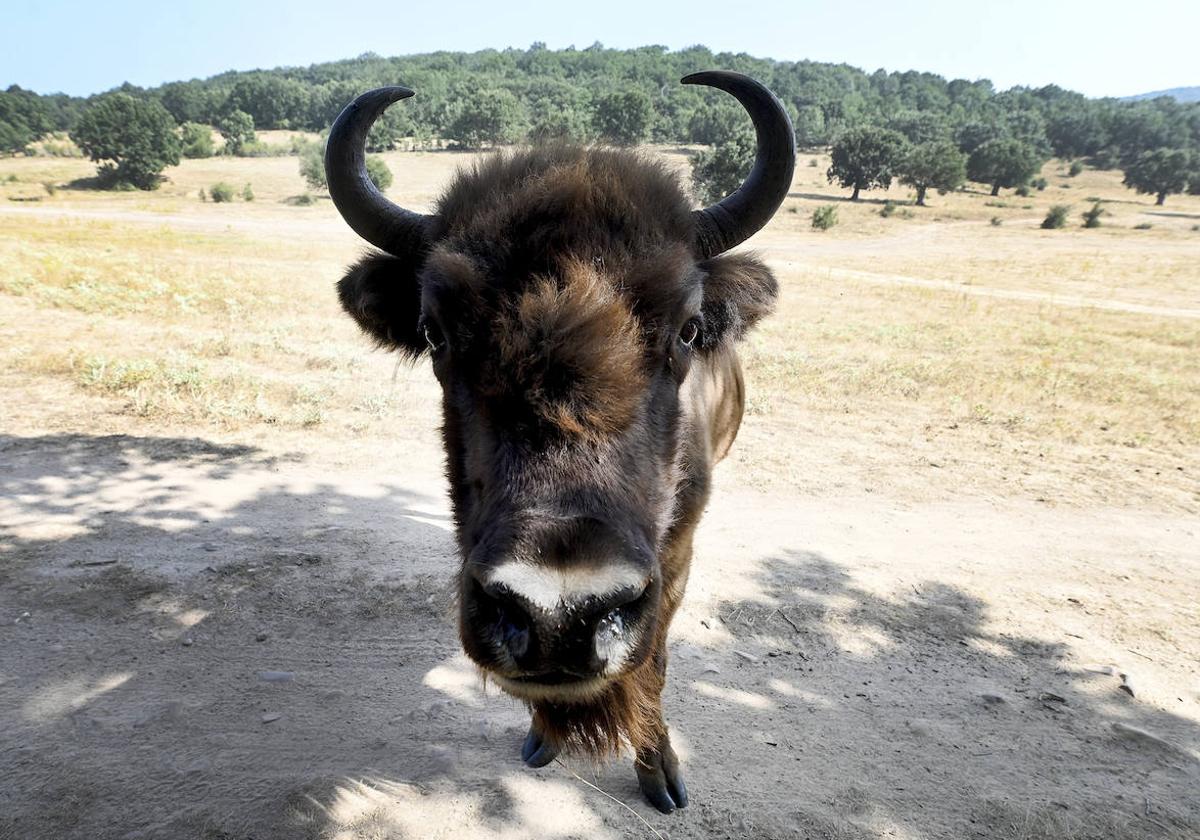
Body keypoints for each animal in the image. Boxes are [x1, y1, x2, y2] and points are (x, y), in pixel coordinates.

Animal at [326, 73, 796, 816]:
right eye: (434, 330)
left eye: (689, 328)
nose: (558, 614)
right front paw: (542, 742)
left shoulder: (676, 557)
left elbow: (655, 661)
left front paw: (661, 776)